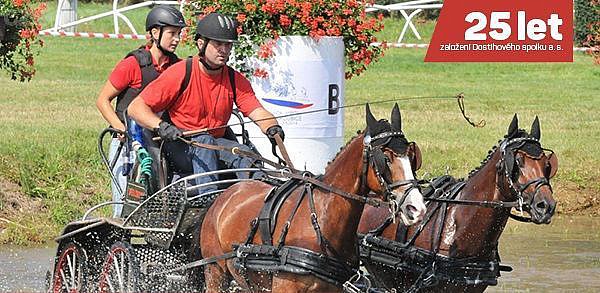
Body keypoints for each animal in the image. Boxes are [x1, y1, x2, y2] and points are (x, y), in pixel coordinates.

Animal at [202, 104, 426, 290]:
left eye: (412, 156)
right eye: (385, 158)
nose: (416, 208)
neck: (322, 220)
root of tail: (225, 195)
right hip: (215, 272)